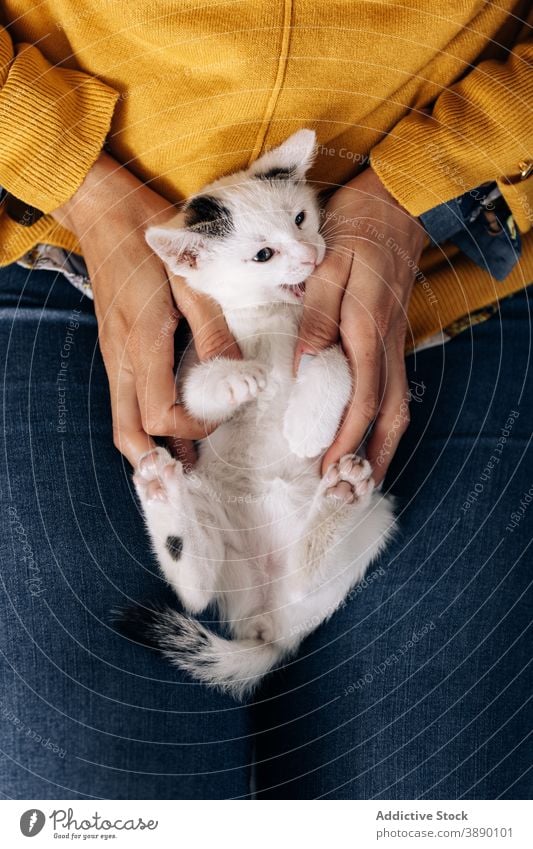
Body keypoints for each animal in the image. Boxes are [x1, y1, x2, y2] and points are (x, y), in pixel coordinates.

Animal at [121, 131, 394, 696]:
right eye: (263, 255)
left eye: (300, 218)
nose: (310, 256)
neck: (274, 316)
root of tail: (263, 624)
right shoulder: (191, 360)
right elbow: (200, 389)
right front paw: (238, 381)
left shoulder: (323, 334)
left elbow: (332, 359)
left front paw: (308, 426)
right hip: (212, 508)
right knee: (196, 592)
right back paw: (162, 494)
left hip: (374, 523)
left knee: (304, 578)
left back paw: (339, 496)